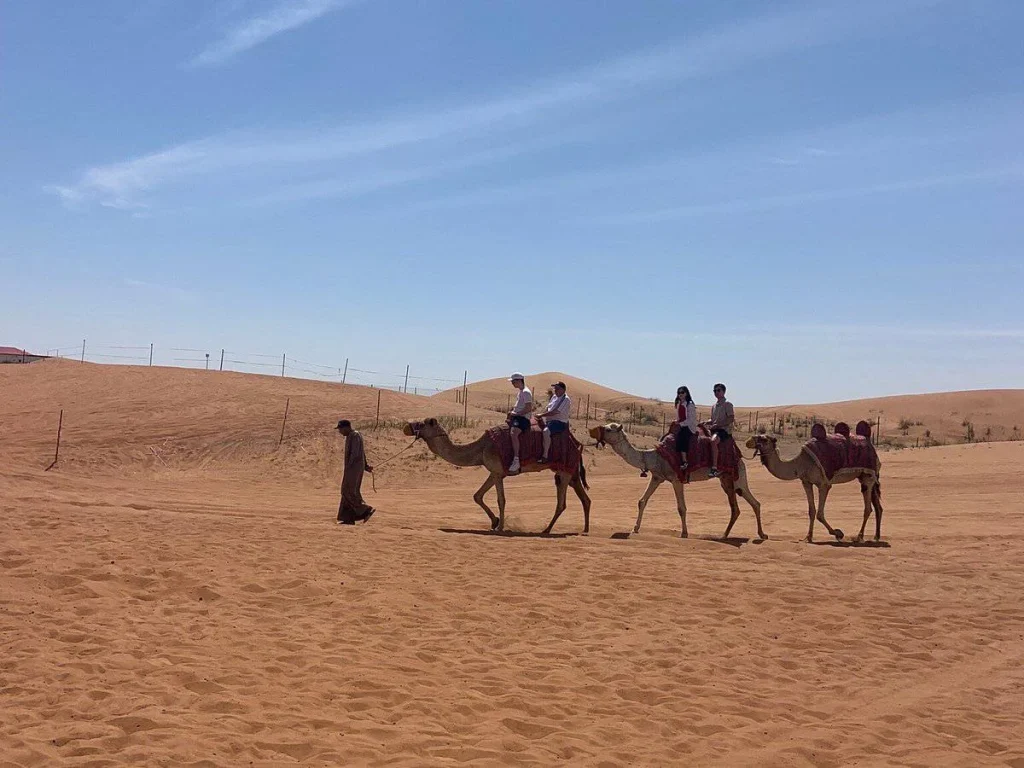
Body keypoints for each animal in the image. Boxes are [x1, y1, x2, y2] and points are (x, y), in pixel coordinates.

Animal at [401, 421, 593, 536]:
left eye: (423, 423)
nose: (407, 426)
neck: (480, 449)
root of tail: (578, 443)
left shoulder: (498, 472)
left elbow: (501, 499)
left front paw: (500, 527)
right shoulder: (494, 472)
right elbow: (477, 496)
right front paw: (494, 522)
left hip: (565, 471)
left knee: (562, 503)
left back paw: (547, 530)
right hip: (571, 472)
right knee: (585, 499)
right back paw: (585, 529)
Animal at [589, 428, 765, 540]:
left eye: (609, 429)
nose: (592, 432)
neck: (653, 457)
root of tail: (739, 455)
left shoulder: (676, 478)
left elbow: (681, 508)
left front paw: (684, 533)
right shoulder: (657, 477)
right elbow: (642, 501)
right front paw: (635, 528)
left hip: (737, 477)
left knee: (753, 502)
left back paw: (759, 535)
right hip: (726, 480)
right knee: (739, 507)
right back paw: (727, 535)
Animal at [745, 436, 880, 544]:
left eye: (763, 438)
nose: (748, 442)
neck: (800, 464)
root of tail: (872, 447)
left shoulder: (824, 484)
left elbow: (820, 513)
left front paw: (838, 533)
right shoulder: (806, 482)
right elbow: (811, 511)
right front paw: (808, 537)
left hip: (868, 475)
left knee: (868, 508)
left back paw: (859, 537)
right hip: (863, 476)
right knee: (877, 505)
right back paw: (876, 536)